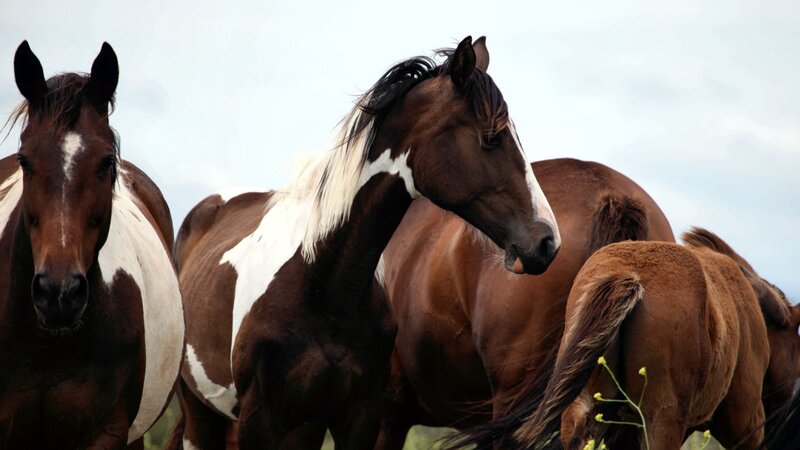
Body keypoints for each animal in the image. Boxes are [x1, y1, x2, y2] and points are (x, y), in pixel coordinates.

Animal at [170, 36, 560, 450]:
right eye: (491, 137)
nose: (547, 241)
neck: (321, 284)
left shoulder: (359, 417)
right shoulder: (258, 419)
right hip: (199, 413)